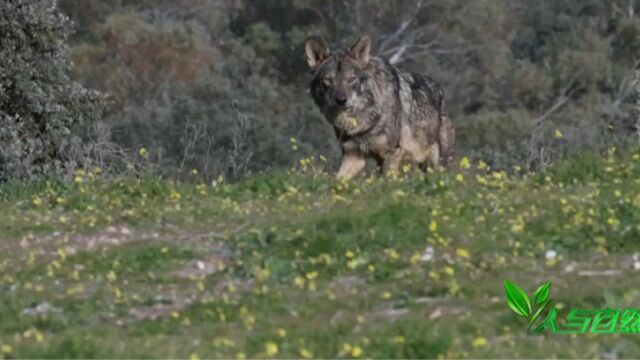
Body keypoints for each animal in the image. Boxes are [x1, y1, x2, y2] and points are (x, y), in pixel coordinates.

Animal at [304, 35, 456, 179]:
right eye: (328, 80)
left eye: (351, 79)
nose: (341, 100)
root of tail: (440, 92)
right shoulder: (353, 156)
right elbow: (338, 181)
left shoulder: (391, 154)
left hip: (439, 164)